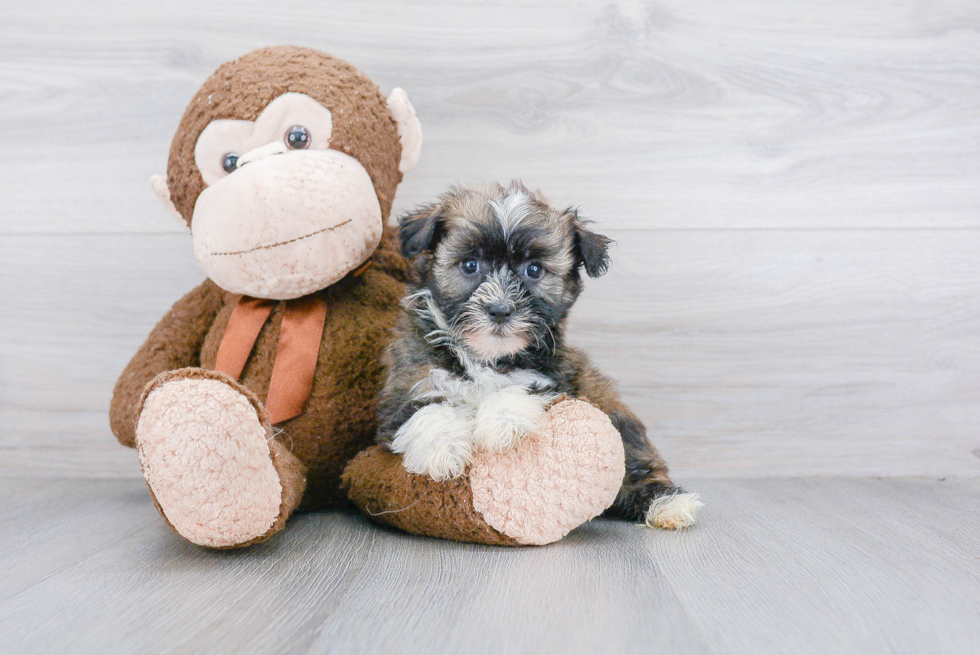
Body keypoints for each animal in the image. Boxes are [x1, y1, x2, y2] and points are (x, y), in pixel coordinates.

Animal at [378, 182, 704, 532]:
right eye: (469, 265)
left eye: (534, 270)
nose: (500, 310)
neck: (489, 357)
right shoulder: (406, 382)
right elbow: (428, 406)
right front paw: (443, 447)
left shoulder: (557, 379)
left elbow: (522, 387)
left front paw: (503, 422)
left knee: (637, 466)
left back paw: (669, 505)